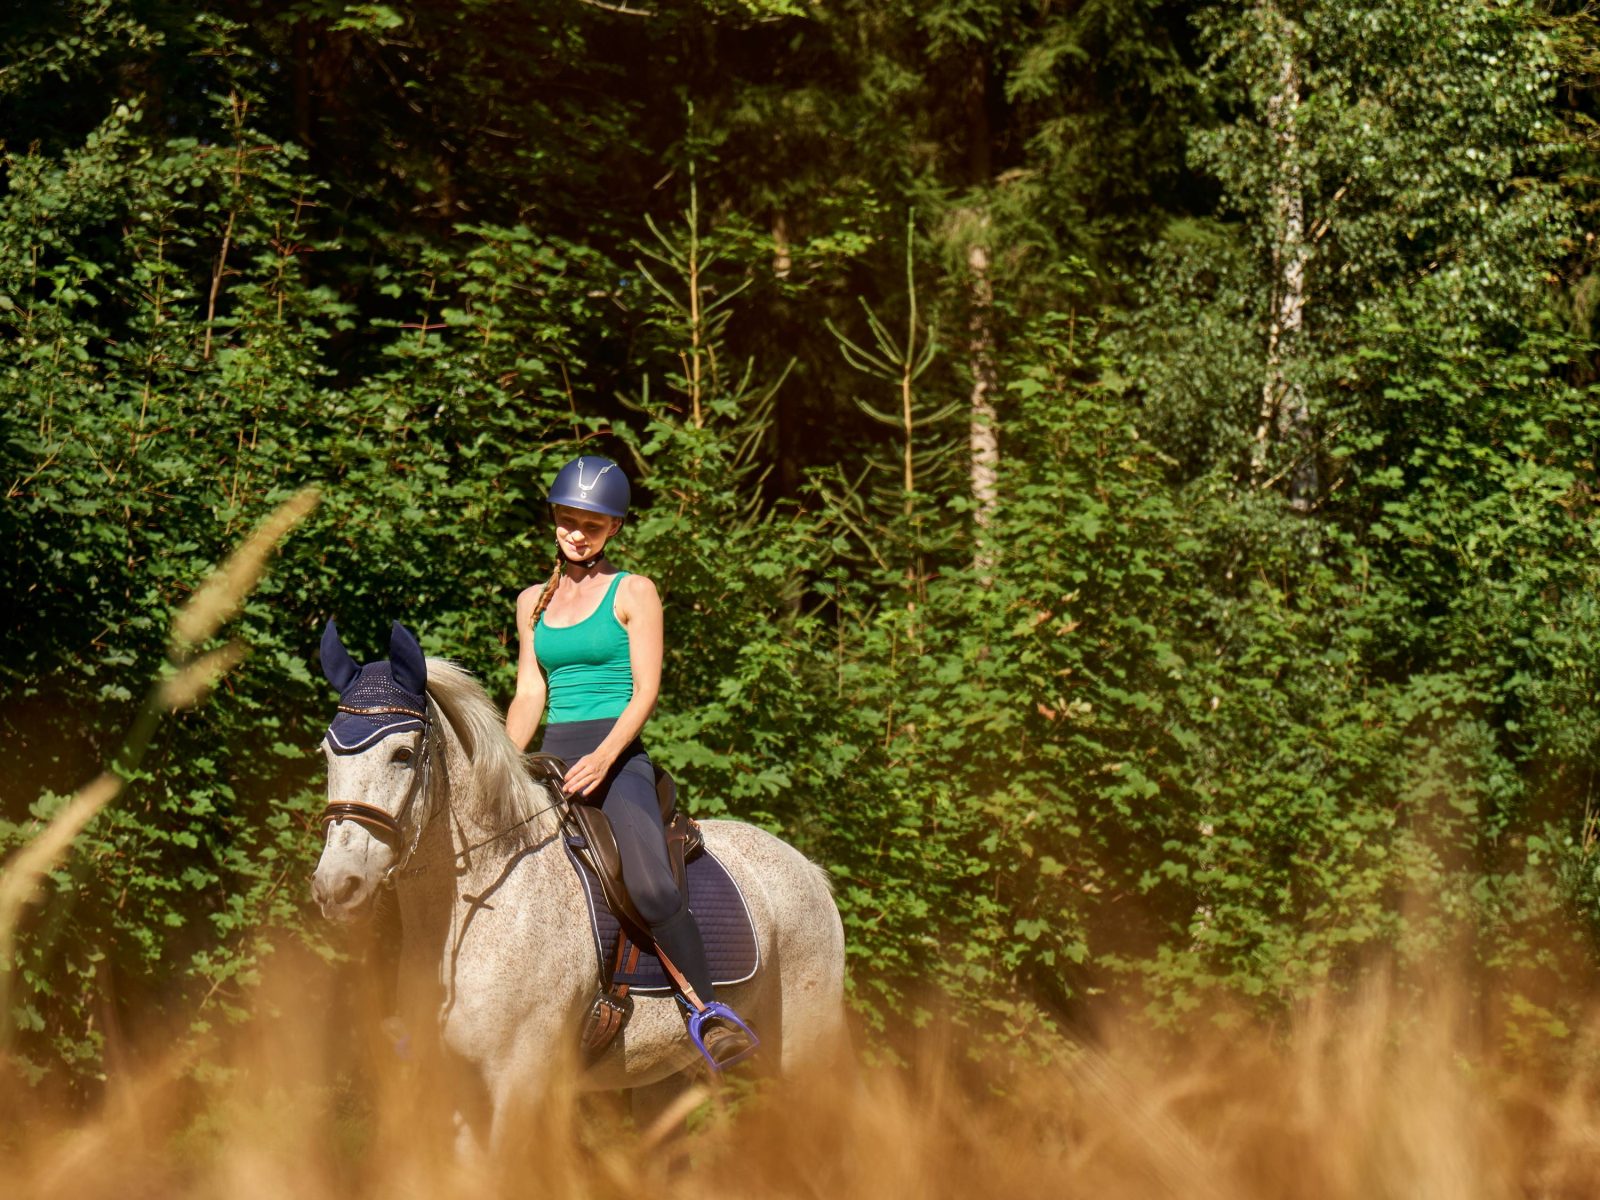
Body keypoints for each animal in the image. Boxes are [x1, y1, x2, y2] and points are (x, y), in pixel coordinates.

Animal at [304, 624, 844, 1158]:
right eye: (328, 754)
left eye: (402, 754)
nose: (336, 885)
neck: (471, 914)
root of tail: (808, 869)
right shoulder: (460, 1088)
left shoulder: (517, 1082)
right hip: (666, 1078)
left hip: (800, 1050)